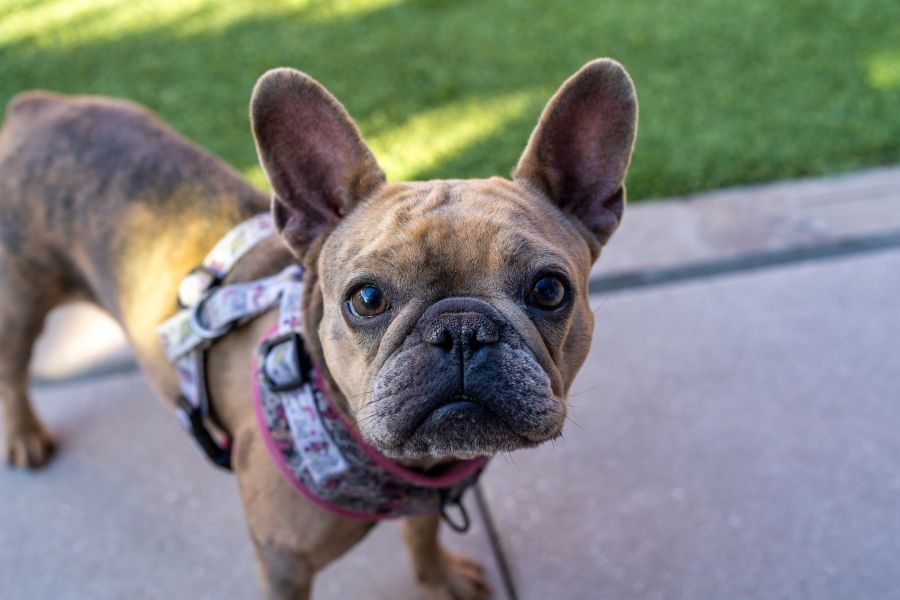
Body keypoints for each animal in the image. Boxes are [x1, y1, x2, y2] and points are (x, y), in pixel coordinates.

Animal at [0, 58, 636, 596]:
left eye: (549, 290)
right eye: (367, 299)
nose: (461, 330)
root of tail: (37, 106)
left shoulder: (424, 505)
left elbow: (422, 534)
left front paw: (438, 580)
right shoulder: (284, 566)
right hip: (18, 304)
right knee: (13, 370)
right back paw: (25, 436)